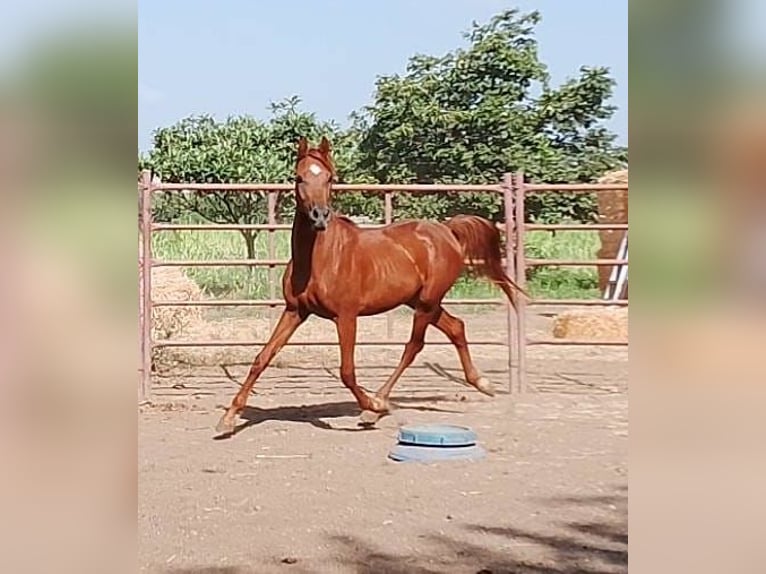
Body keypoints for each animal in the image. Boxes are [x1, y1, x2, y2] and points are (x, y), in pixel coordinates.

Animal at [218, 137, 528, 436]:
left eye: (329, 178)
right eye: (299, 177)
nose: (319, 216)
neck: (320, 258)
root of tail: (447, 230)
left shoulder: (346, 316)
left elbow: (347, 371)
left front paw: (370, 406)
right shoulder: (295, 311)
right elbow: (262, 357)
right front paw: (228, 419)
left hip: (427, 302)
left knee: (414, 345)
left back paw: (379, 403)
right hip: (421, 301)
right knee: (456, 327)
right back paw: (482, 383)